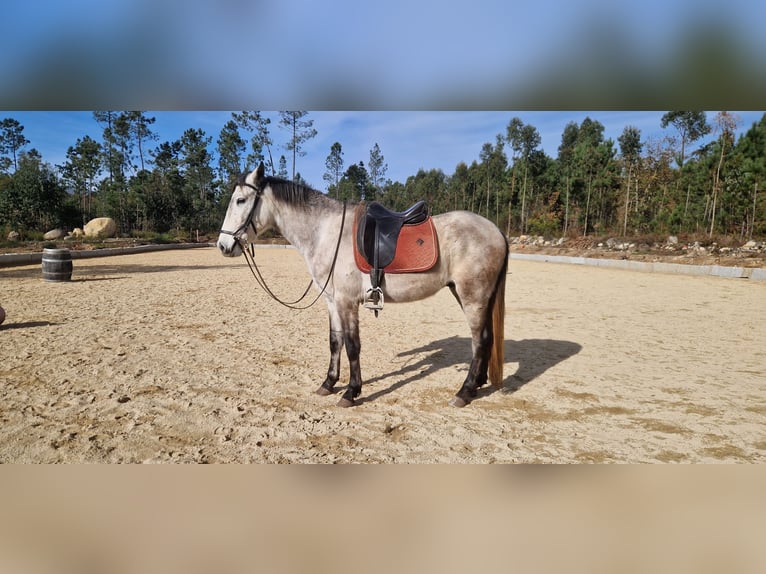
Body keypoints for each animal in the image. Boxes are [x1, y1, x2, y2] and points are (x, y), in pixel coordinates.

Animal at [216, 164, 510, 410]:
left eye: (241, 200)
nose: (223, 246)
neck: (325, 233)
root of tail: (495, 230)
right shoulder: (332, 302)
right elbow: (334, 342)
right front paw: (328, 384)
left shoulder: (347, 302)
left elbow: (352, 345)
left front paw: (351, 392)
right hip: (470, 295)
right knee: (486, 338)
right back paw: (478, 384)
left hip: (473, 297)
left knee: (480, 340)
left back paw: (464, 392)